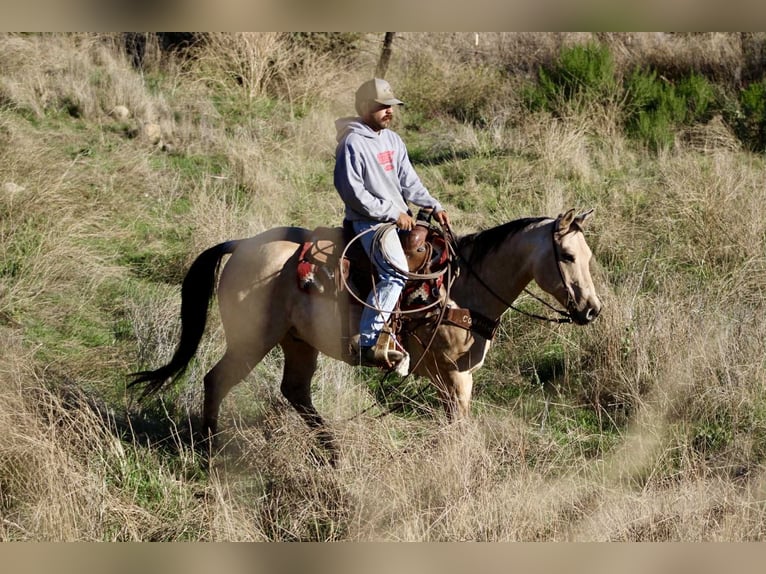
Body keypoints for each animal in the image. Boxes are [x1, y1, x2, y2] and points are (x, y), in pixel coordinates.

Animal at [129, 208, 602, 461]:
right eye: (566, 255)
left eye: (588, 255)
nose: (591, 309)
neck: (463, 287)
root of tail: (243, 245)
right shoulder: (451, 376)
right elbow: (459, 425)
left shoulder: (455, 379)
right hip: (252, 341)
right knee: (217, 381)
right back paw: (209, 451)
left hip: (298, 343)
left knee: (295, 391)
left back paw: (332, 452)